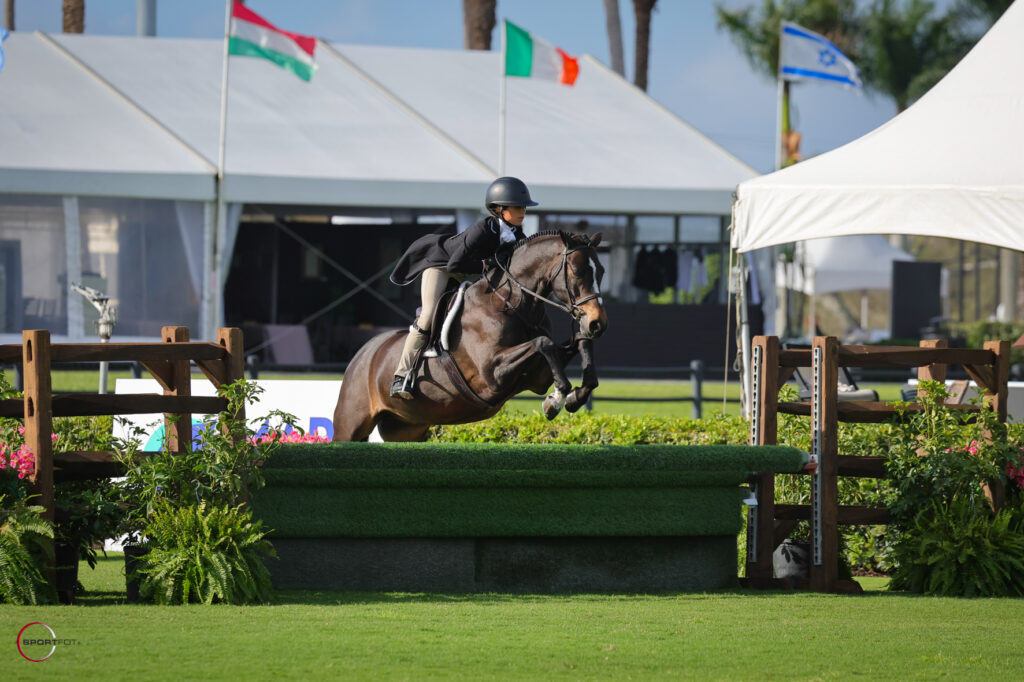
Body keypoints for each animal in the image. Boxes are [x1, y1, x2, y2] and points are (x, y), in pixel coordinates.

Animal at [331, 231, 608, 442]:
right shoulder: (491, 376)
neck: (512, 303)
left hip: (406, 427)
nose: (597, 323)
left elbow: (578, 345)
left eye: (602, 271)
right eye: (576, 270)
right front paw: (557, 398)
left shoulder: (537, 376)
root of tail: (362, 355)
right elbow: (544, 343)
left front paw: (572, 398)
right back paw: (400, 383)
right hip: (350, 424)